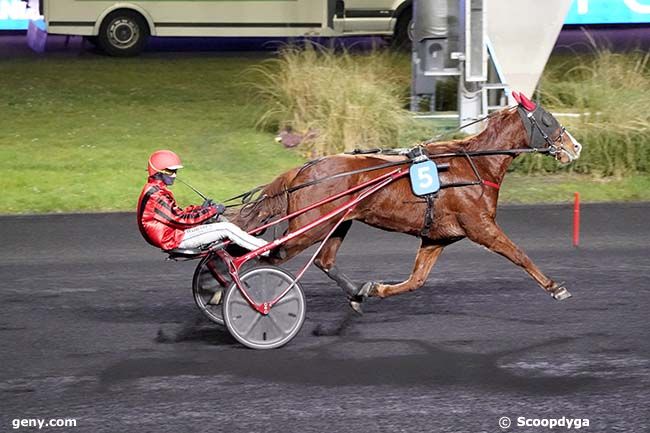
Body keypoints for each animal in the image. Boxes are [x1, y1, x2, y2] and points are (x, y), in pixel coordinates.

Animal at [232, 93, 584, 310]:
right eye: (548, 120)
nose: (576, 146)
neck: (475, 165)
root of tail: (302, 169)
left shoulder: (437, 237)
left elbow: (416, 280)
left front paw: (374, 289)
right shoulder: (480, 226)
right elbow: (519, 254)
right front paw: (555, 287)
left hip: (336, 223)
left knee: (324, 261)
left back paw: (355, 293)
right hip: (308, 228)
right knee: (265, 257)